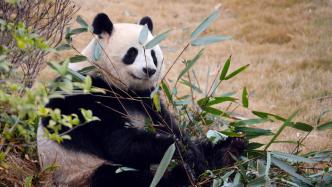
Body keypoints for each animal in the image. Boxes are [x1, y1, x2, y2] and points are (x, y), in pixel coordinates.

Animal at [37, 12, 246, 186]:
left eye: (153, 54)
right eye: (132, 53)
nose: (149, 70)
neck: (120, 88)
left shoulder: (147, 98)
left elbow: (170, 126)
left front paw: (193, 154)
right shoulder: (86, 96)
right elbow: (118, 143)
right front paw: (174, 148)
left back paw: (229, 151)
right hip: (80, 170)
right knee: (121, 178)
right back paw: (181, 175)